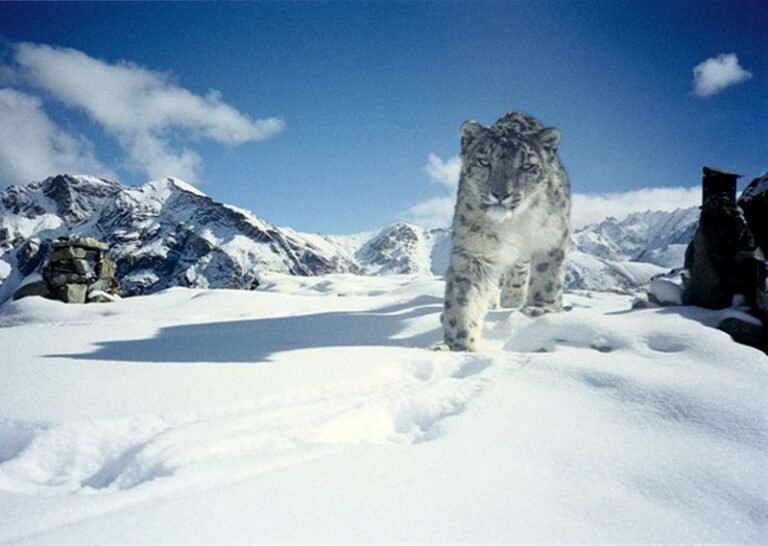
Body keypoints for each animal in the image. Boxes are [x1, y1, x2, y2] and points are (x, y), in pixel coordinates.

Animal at [440, 111, 571, 351]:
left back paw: (513, 297)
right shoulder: (473, 248)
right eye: (484, 161)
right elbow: (464, 297)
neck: (514, 223)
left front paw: (541, 308)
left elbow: (547, 276)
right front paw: (458, 345)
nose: (501, 194)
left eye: (527, 166)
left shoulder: (552, 236)